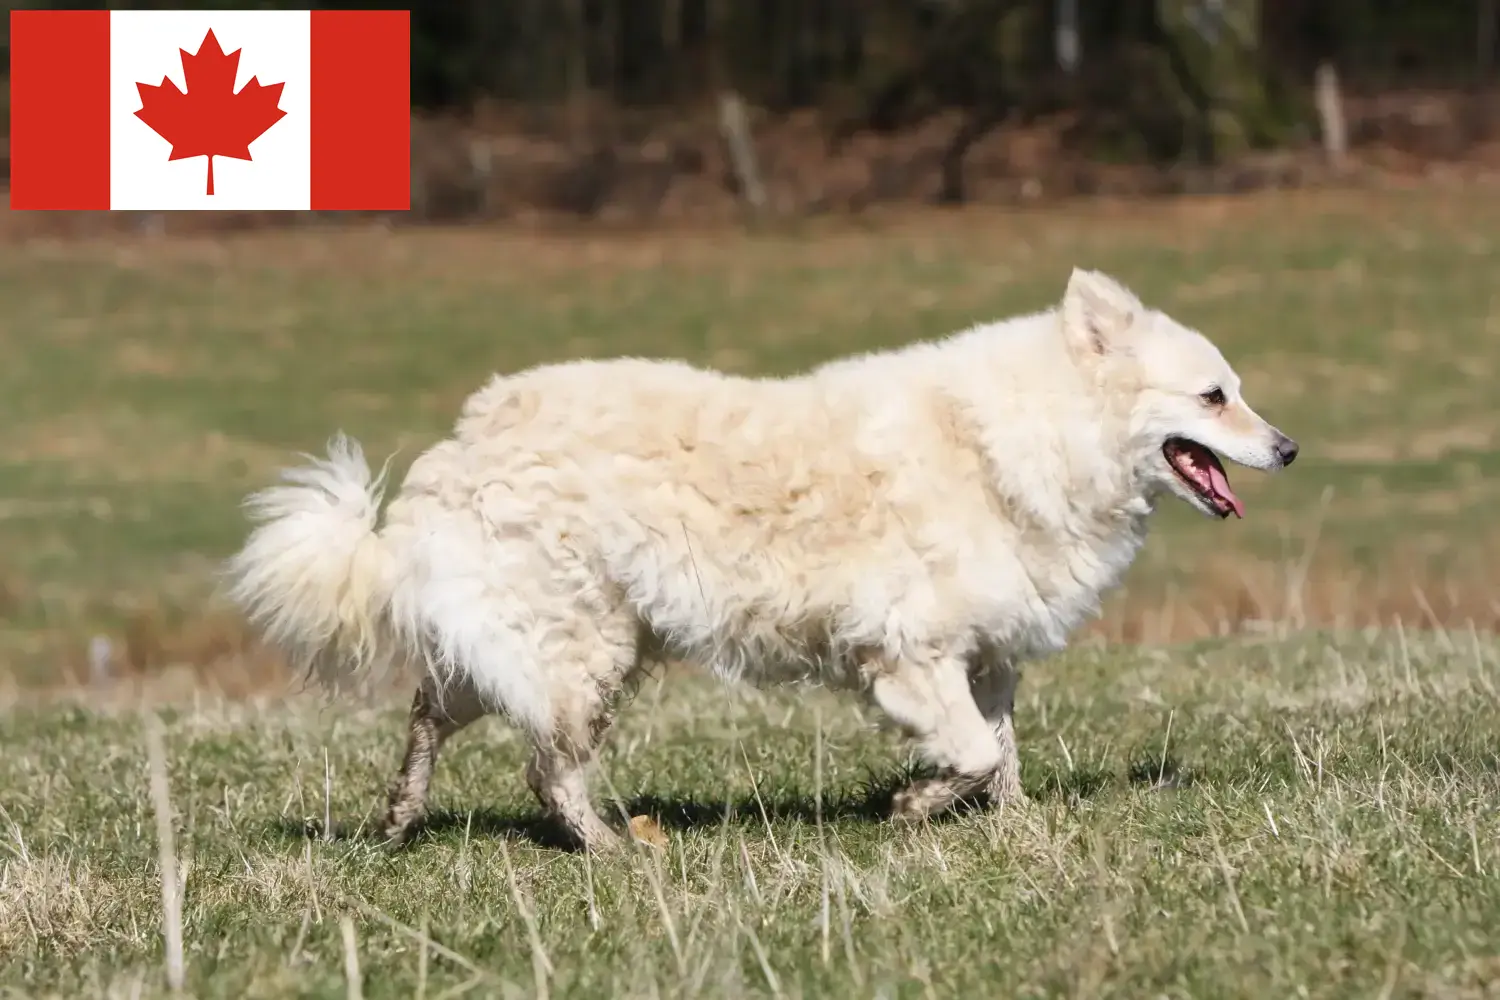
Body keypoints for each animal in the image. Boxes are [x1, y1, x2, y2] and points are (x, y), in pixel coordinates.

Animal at [225, 263, 1302, 845]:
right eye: (1214, 397)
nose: (1290, 448)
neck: (1029, 433)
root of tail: (459, 443)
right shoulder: (910, 655)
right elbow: (962, 750)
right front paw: (912, 806)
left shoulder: (987, 655)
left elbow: (998, 754)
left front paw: (1014, 826)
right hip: (581, 651)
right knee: (547, 769)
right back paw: (610, 850)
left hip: (529, 645)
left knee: (430, 715)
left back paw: (399, 820)